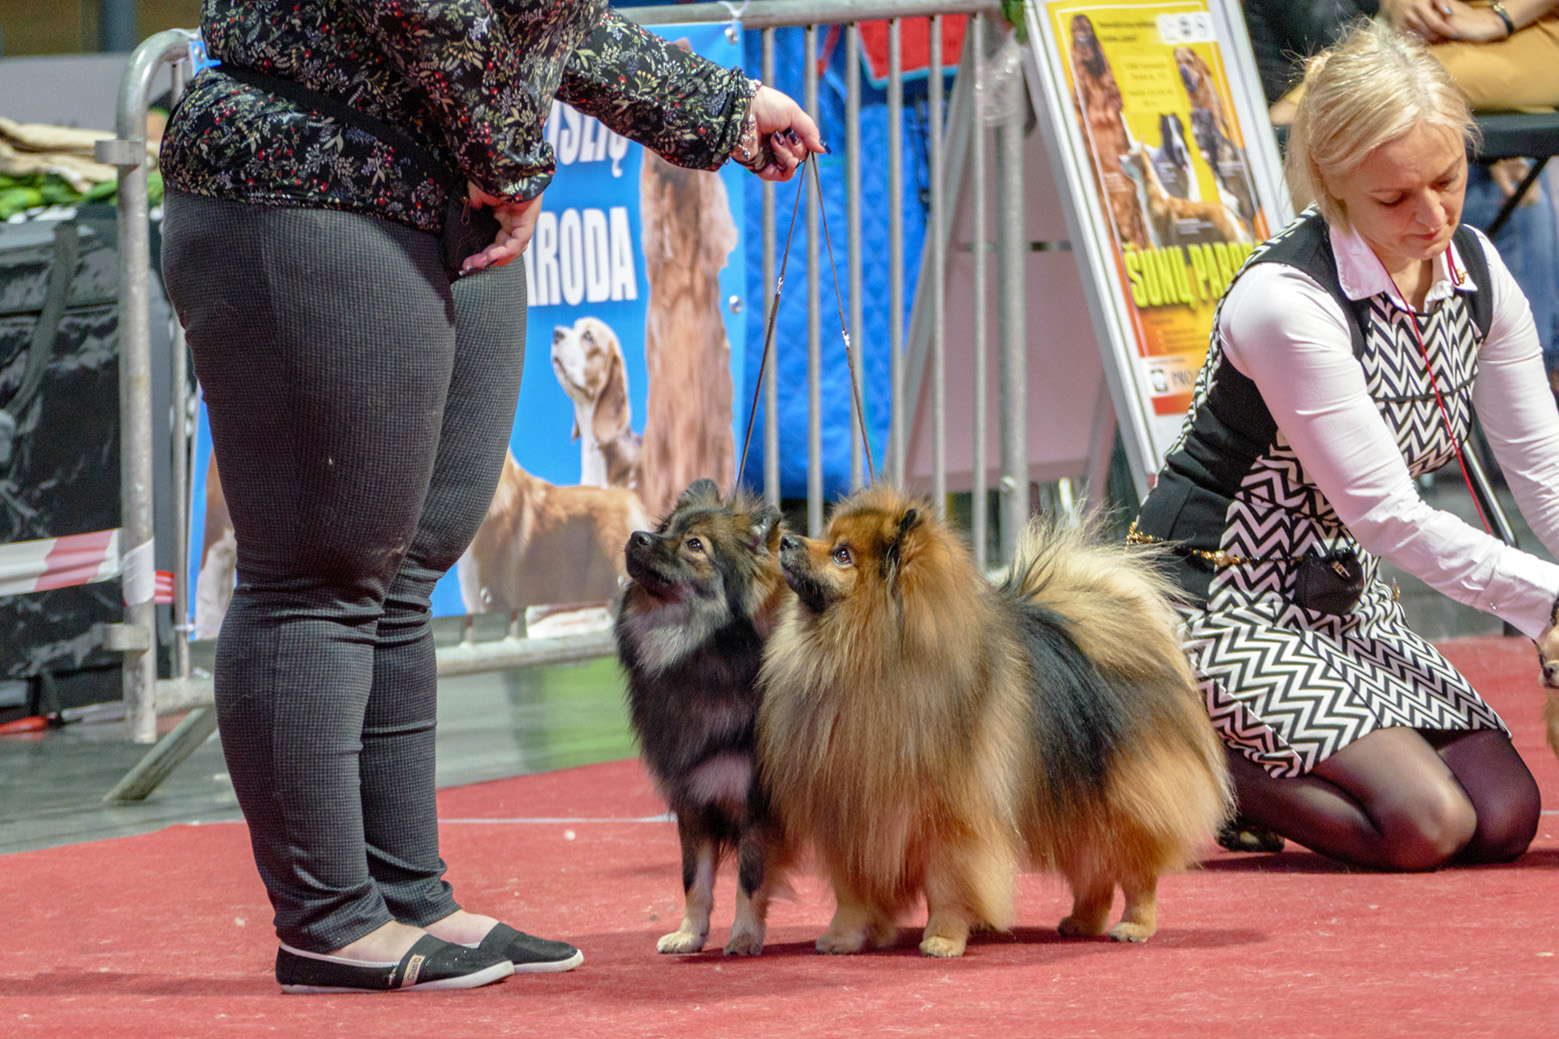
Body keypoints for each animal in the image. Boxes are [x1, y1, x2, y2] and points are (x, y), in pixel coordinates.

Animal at [614, 479, 793, 955]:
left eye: (695, 545)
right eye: (664, 529)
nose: (638, 537)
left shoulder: (757, 807)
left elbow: (750, 880)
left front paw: (744, 937)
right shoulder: (693, 799)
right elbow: (694, 879)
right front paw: (690, 934)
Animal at [758, 487, 1232, 957]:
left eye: (842, 554)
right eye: (824, 537)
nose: (787, 540)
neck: (863, 657)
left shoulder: (950, 825)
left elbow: (947, 889)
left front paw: (943, 939)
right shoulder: (850, 819)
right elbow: (853, 894)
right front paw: (841, 938)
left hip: (1122, 807)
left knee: (1136, 876)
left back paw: (1134, 926)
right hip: (1075, 807)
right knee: (1093, 873)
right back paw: (1081, 921)